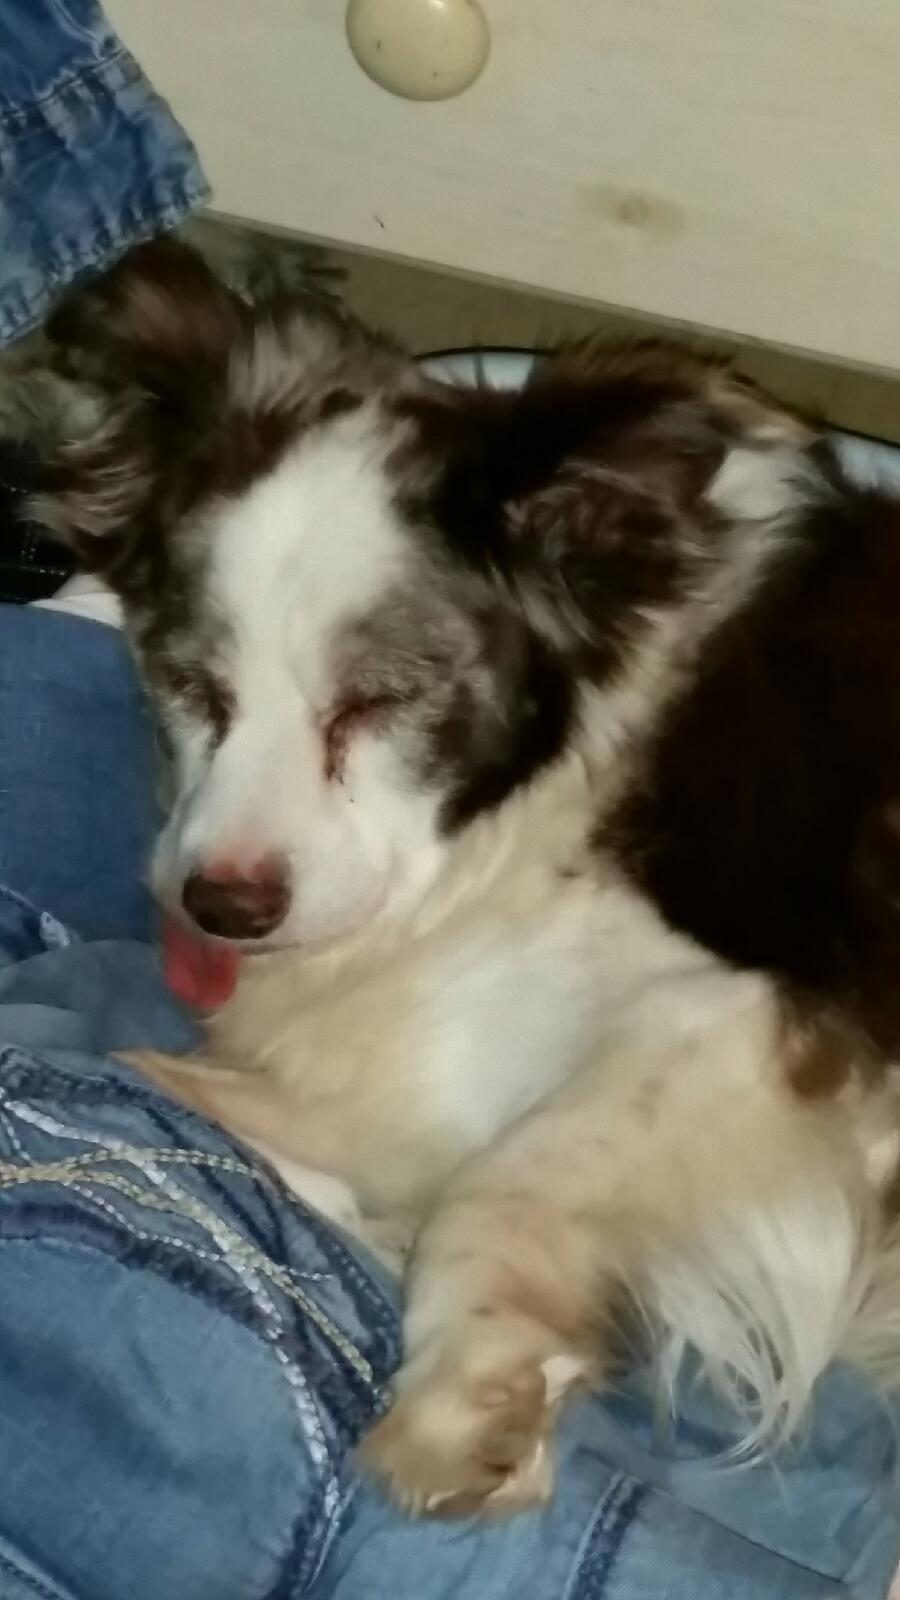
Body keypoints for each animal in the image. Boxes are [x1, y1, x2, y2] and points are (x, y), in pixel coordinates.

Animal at [33, 238, 900, 1516]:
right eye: (192, 685)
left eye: (378, 701)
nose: (222, 910)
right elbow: (198, 1090)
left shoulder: (760, 1015)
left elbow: (504, 1172)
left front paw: (463, 1390)